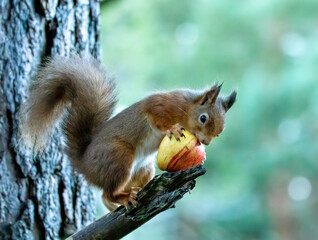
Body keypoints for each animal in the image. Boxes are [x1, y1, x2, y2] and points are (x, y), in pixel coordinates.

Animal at [18, 55, 236, 211]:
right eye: (203, 118)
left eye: (219, 132)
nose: (205, 142)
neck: (186, 109)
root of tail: (84, 165)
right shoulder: (162, 105)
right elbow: (155, 117)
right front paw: (171, 129)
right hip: (118, 157)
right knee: (107, 193)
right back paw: (123, 198)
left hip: (143, 167)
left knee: (108, 193)